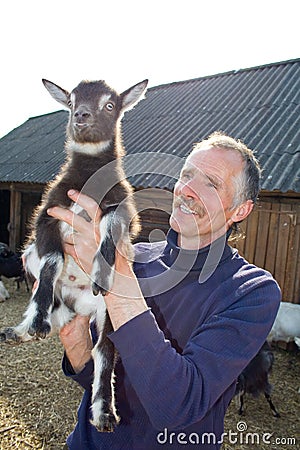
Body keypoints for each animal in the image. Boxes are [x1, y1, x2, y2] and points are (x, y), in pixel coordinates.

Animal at [0, 77, 148, 432]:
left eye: (110, 104)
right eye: (71, 101)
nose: (81, 115)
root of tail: (78, 304)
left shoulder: (123, 209)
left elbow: (110, 227)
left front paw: (101, 271)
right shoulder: (47, 215)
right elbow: (52, 260)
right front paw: (36, 322)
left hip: (107, 312)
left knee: (104, 351)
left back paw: (104, 412)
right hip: (34, 262)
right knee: (55, 312)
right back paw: (22, 330)